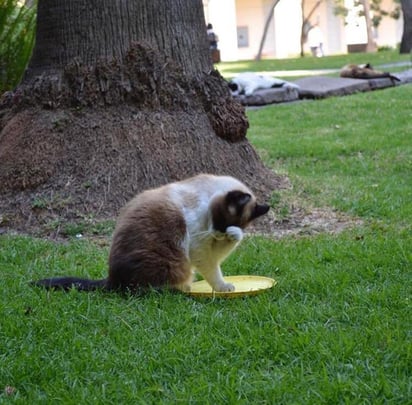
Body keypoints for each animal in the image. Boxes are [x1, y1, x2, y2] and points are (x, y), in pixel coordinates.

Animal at [33, 172, 270, 292]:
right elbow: (213, 271)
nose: (220, 232)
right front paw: (224, 288)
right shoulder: (199, 246)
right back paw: (181, 290)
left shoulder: (208, 243)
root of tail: (112, 278)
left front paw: (234, 235)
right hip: (177, 264)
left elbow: (226, 249)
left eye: (224, 225)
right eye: (219, 221)